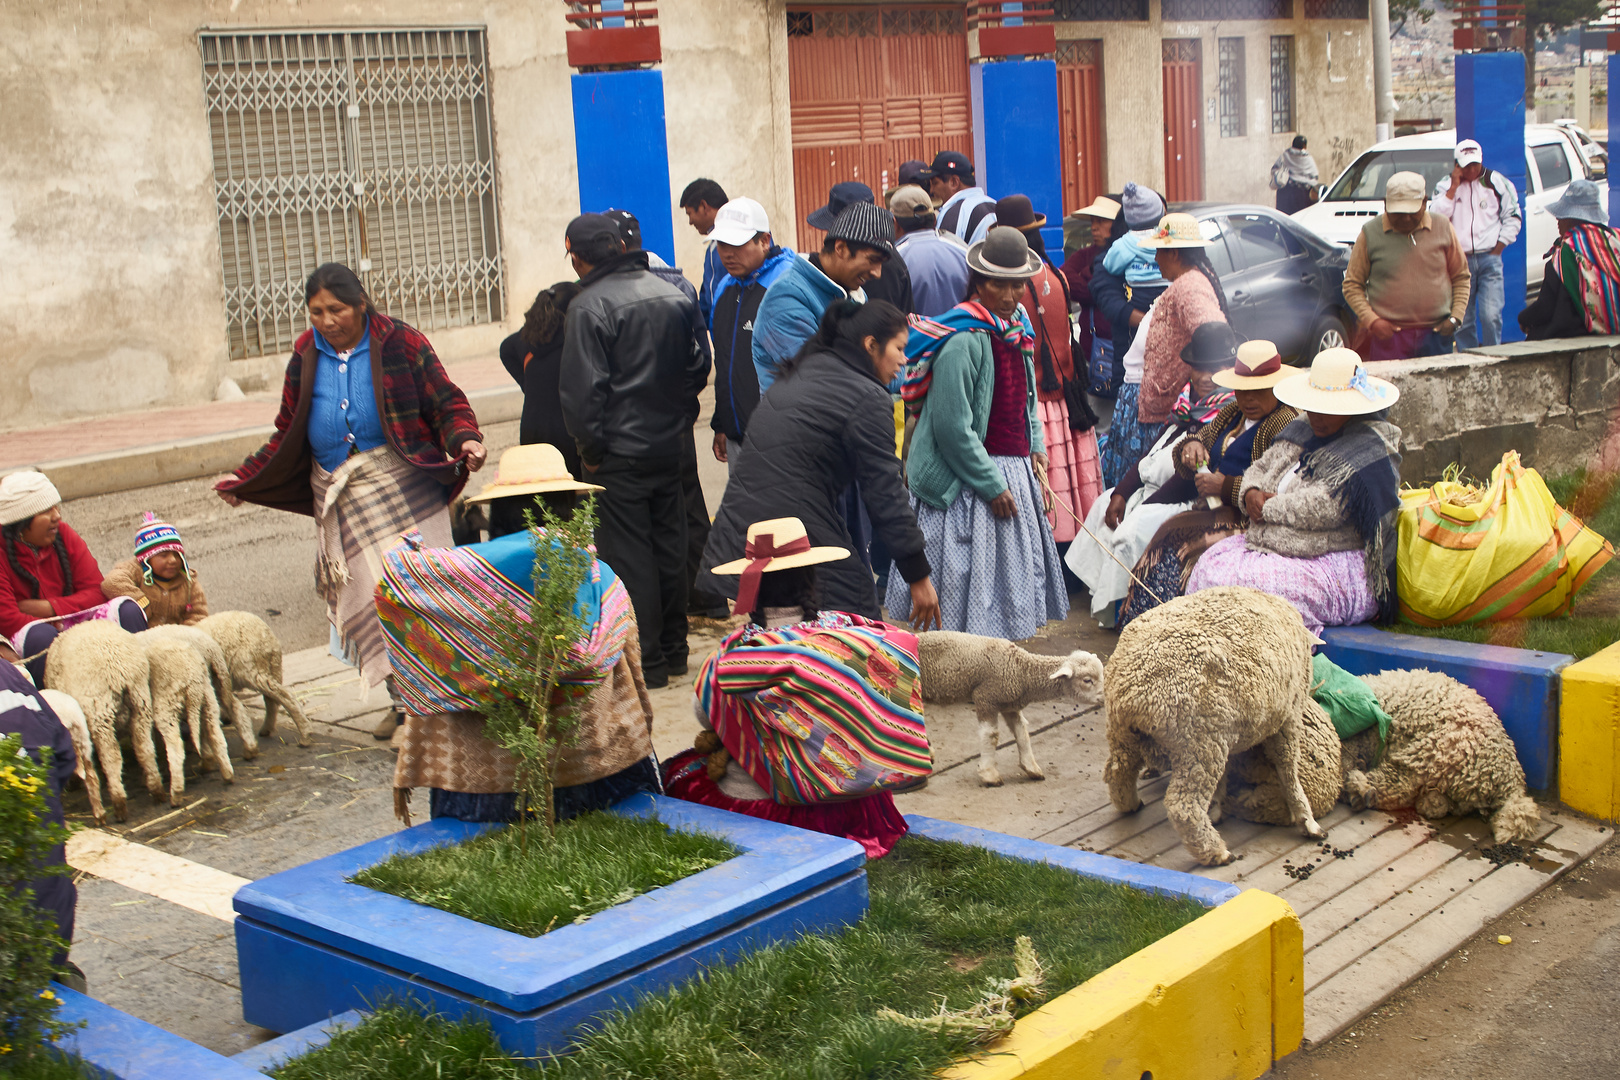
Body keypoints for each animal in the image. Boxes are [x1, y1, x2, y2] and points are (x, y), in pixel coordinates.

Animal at [43, 621, 151, 822]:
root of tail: (119, 670)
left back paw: (119, 806)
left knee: (111, 758)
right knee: (144, 747)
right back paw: (156, 789)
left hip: (100, 713)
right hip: (141, 703)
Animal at [197, 612, 311, 748]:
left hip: (250, 669)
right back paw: (267, 729)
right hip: (270, 667)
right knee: (271, 699)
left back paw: (304, 736)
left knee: (281, 695)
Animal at [920, 628, 1108, 790]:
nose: (1106, 696)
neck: (1022, 670)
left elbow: (1022, 733)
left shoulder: (1010, 706)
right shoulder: (985, 697)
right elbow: (991, 735)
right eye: (1087, 680)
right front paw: (989, 774)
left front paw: (1031, 768)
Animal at [1101, 586, 1328, 867]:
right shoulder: (1288, 718)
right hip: (1199, 742)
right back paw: (1216, 852)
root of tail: (1132, 694)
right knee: (1183, 807)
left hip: (1127, 735)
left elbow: (1230, 771)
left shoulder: (1231, 728)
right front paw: (1307, 820)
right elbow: (1287, 768)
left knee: (1117, 773)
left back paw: (1131, 804)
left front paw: (1218, 805)